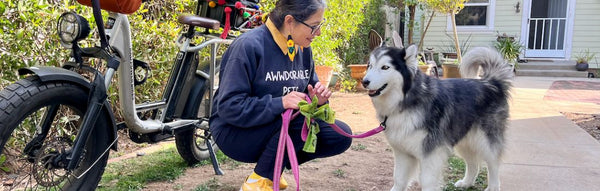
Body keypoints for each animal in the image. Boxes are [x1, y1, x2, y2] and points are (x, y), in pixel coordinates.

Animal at [360, 44, 510, 191]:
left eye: (385, 67)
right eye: (370, 66)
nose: (364, 82)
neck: (406, 101)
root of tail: (492, 82)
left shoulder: (430, 154)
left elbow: (426, 181)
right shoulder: (402, 152)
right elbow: (399, 179)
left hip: (486, 141)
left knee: (493, 165)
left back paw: (493, 187)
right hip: (464, 140)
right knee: (473, 162)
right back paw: (466, 183)